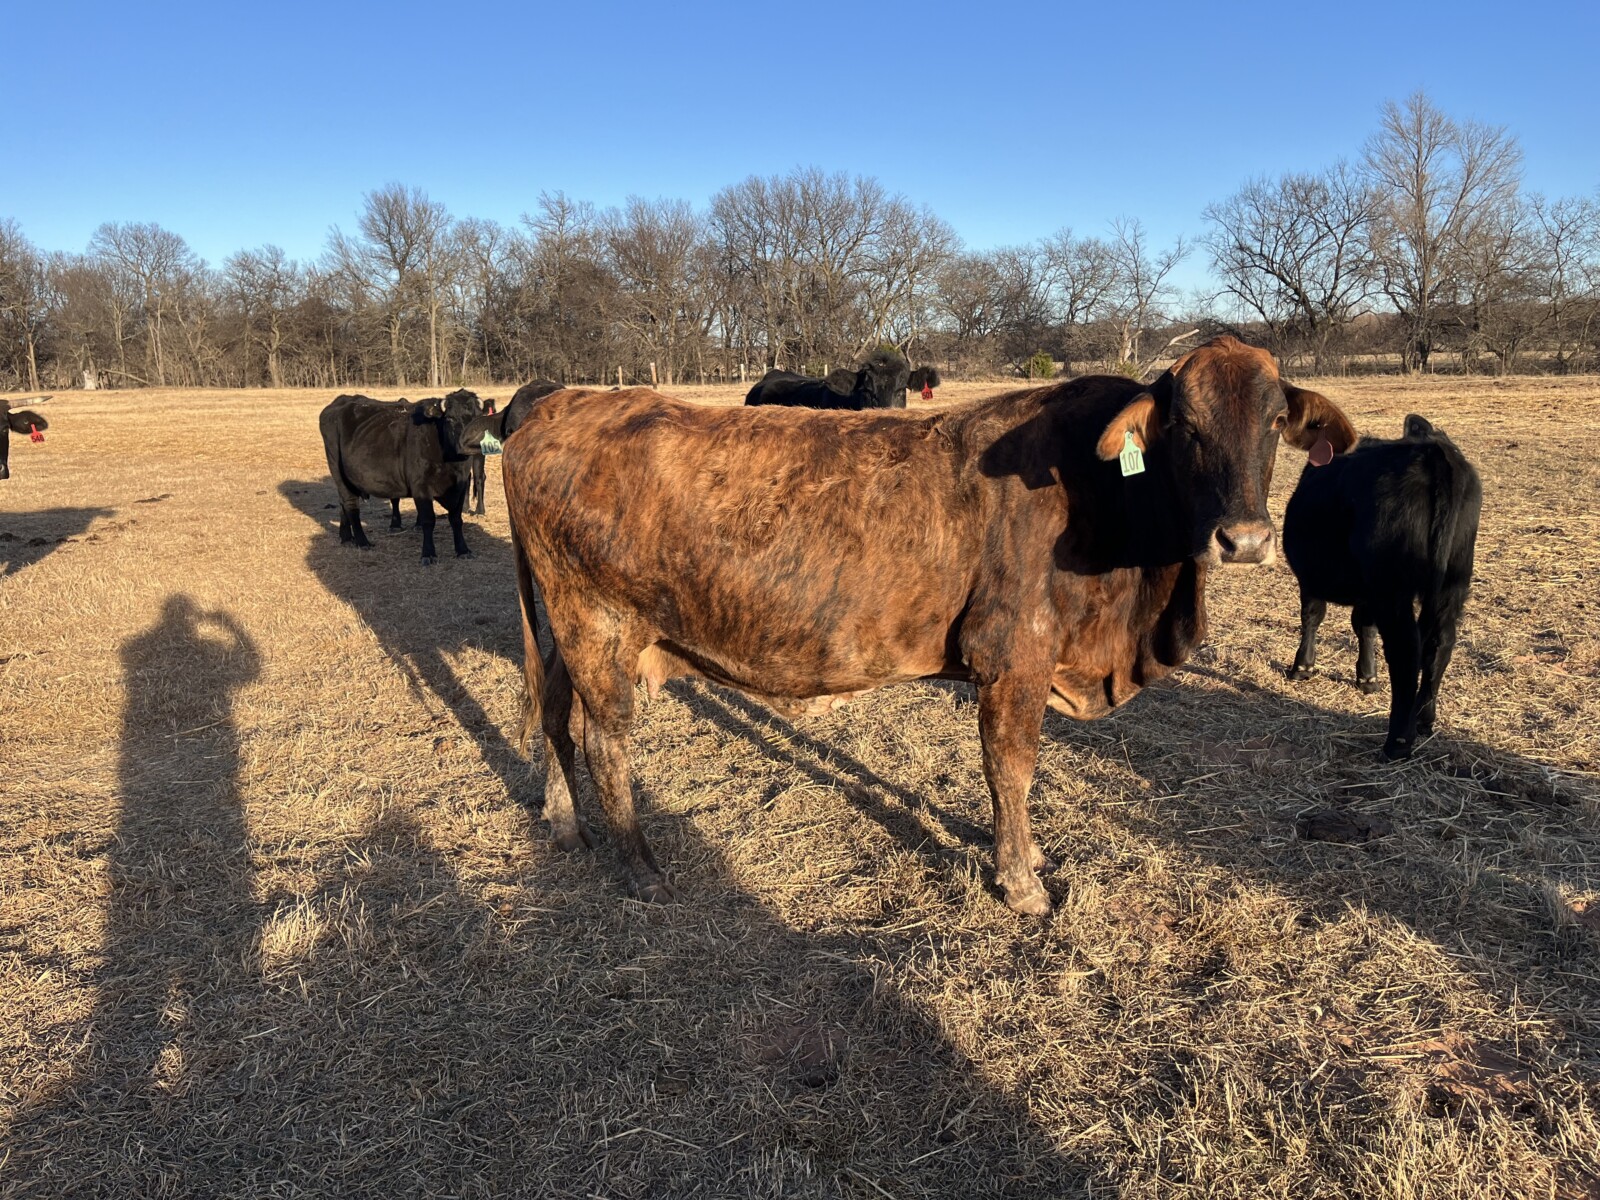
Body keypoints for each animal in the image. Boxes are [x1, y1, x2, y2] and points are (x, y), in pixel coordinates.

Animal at [319, 390, 496, 564]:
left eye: (477, 419)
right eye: (450, 419)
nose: (469, 444)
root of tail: (341, 401)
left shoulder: (461, 485)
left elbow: (456, 519)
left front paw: (463, 550)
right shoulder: (421, 486)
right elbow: (428, 520)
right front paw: (428, 553)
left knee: (343, 503)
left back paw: (346, 537)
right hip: (338, 470)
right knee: (350, 504)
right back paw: (362, 541)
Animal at [1283, 413, 1482, 760]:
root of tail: (1433, 449)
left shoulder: (1311, 576)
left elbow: (1313, 615)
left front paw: (1302, 667)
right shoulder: (1368, 592)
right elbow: (1364, 626)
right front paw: (1367, 676)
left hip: (1393, 587)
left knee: (1406, 650)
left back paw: (1397, 742)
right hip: (1453, 581)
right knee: (1441, 642)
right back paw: (1424, 719)